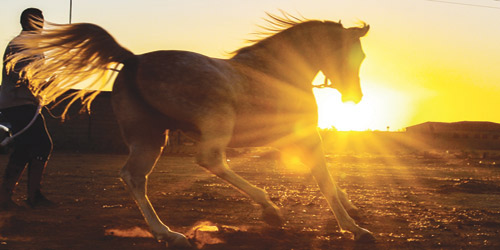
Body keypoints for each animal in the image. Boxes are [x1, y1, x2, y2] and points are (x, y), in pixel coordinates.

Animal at [7, 13, 374, 246]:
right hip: (214, 123)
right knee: (209, 161)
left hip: (149, 137)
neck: (276, 72)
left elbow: (326, 178)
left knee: (133, 176)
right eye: (355, 56)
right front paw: (354, 229)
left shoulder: (289, 141)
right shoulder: (305, 136)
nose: (356, 97)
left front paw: (352, 209)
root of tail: (133, 59)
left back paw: (167, 234)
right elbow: (324, 179)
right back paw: (267, 209)